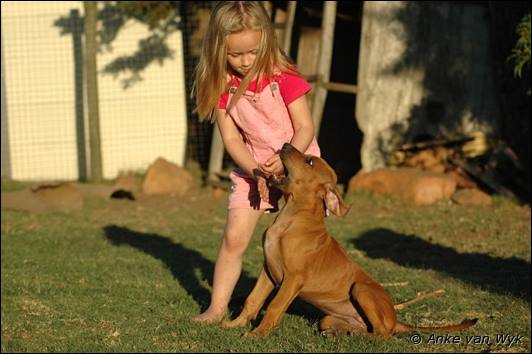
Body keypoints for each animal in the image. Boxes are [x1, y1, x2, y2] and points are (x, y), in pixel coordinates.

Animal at [220, 142, 478, 336]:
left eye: (309, 161)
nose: (284, 144)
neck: (292, 218)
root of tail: (395, 317)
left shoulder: (293, 278)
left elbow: (274, 306)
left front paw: (256, 334)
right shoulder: (268, 269)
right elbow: (253, 300)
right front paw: (234, 324)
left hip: (360, 289)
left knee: (383, 335)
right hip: (329, 317)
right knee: (360, 328)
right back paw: (344, 333)